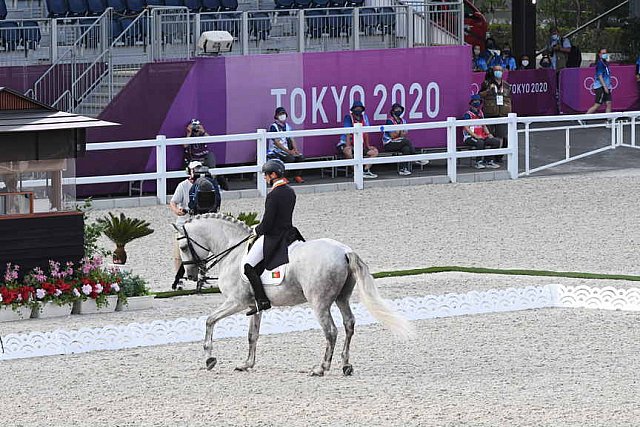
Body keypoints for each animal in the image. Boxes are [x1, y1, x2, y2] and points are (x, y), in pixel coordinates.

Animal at [176, 214, 416, 378]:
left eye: (184, 246)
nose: (191, 275)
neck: (233, 252)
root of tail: (344, 251)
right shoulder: (254, 306)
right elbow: (252, 335)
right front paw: (246, 364)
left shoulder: (236, 302)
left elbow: (209, 320)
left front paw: (209, 358)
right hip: (342, 298)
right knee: (349, 324)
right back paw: (346, 365)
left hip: (319, 303)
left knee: (331, 331)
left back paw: (321, 368)